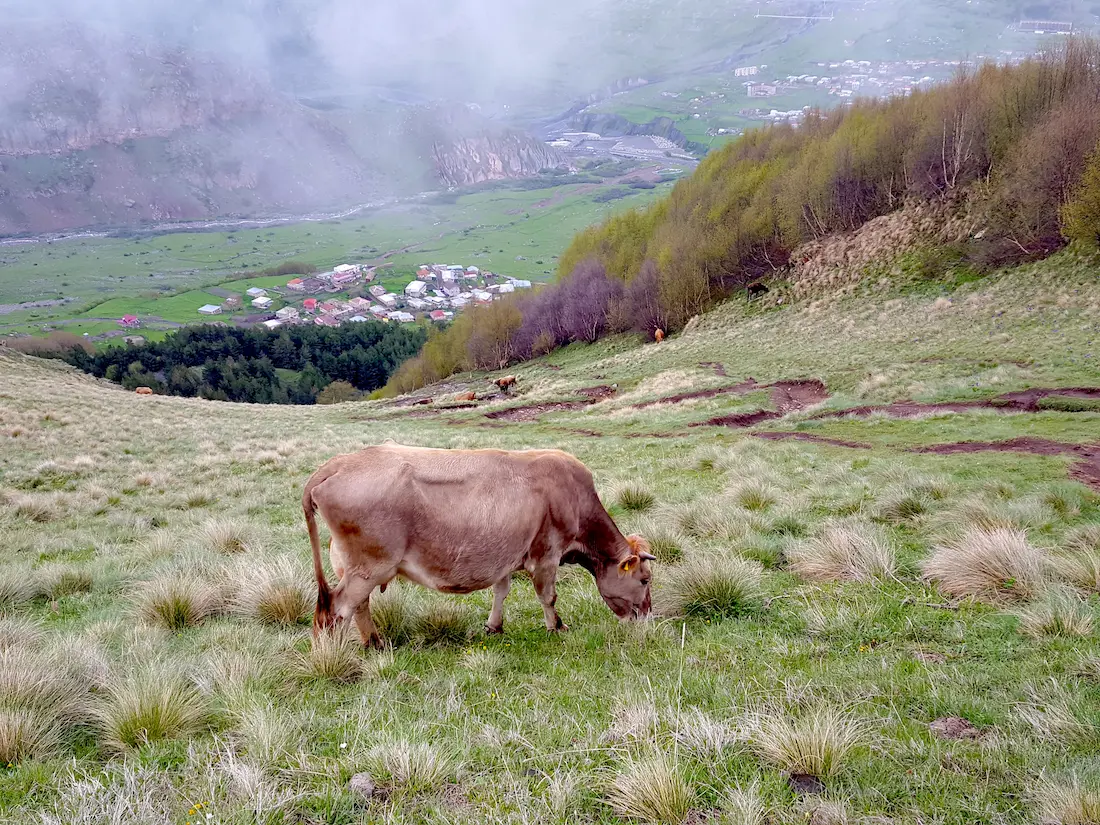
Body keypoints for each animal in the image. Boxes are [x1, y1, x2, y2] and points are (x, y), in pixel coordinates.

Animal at [304, 443, 655, 648]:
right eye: (644, 579)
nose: (647, 616)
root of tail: (337, 464)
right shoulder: (546, 554)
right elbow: (548, 596)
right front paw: (556, 627)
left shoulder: (507, 555)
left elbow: (501, 591)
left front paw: (494, 627)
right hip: (369, 566)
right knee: (335, 609)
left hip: (351, 566)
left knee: (357, 606)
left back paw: (374, 642)